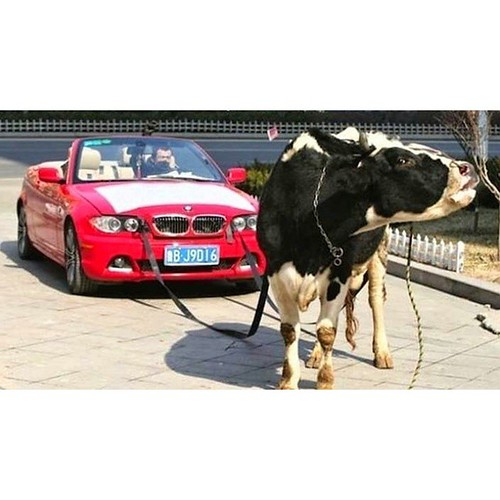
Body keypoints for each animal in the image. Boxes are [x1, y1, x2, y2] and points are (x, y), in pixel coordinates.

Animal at [256, 127, 479, 389]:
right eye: (403, 160)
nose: (467, 168)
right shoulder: (276, 272)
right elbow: (290, 329)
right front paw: (289, 381)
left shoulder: (339, 272)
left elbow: (326, 330)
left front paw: (325, 381)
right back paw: (316, 356)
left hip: (380, 253)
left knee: (376, 300)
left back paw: (382, 353)